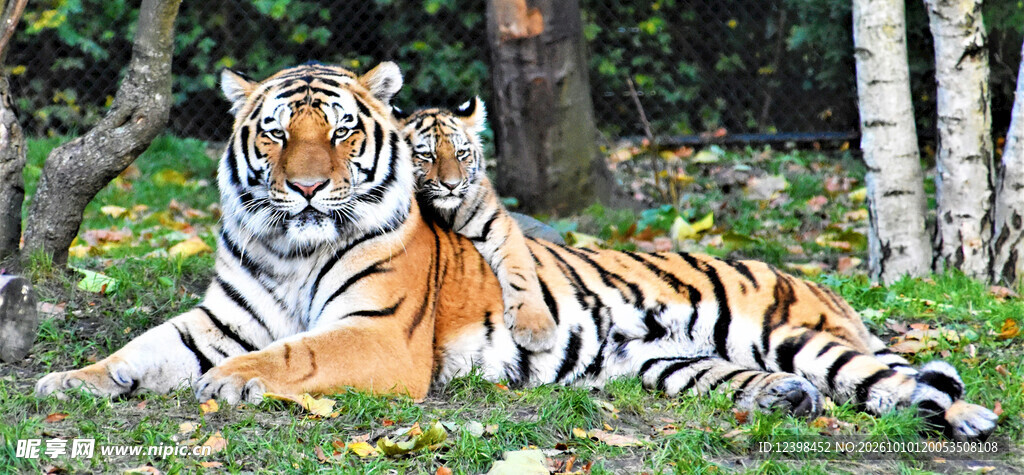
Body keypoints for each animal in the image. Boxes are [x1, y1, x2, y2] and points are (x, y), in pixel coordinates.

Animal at [397, 97, 558, 351]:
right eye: (427, 155)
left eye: (461, 153)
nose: (451, 185)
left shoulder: (499, 226)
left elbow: (521, 272)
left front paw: (536, 329)